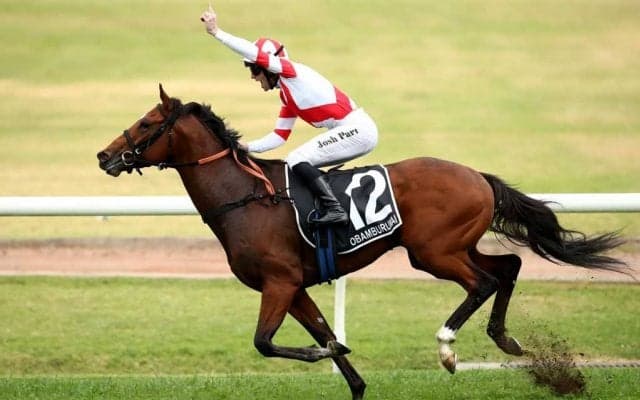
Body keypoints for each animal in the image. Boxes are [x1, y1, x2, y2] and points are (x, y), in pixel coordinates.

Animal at [97, 85, 624, 399]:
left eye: (147, 124)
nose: (104, 156)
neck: (246, 197)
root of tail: (478, 176)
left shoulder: (278, 283)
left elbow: (266, 343)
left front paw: (327, 354)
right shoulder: (295, 288)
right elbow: (325, 337)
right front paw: (345, 367)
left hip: (432, 253)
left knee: (483, 283)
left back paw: (448, 348)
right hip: (452, 247)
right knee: (509, 266)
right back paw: (506, 339)